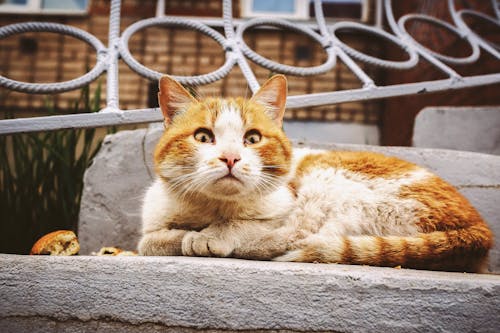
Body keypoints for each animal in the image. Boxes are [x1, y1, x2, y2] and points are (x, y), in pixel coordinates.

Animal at [139, 74, 494, 272]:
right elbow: (150, 241)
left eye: (252, 138)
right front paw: (185, 236)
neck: (211, 209)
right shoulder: (153, 221)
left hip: (330, 182)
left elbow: (243, 224)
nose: (230, 158)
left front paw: (209, 236)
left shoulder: (284, 206)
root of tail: (478, 227)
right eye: (203, 137)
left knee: (303, 238)